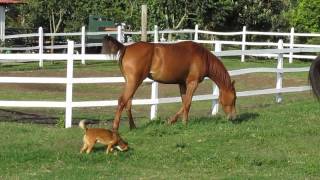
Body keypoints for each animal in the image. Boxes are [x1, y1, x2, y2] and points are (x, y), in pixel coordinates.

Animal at [101, 35, 236, 130]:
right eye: (234, 98)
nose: (233, 117)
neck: (202, 57)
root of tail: (126, 47)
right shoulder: (193, 83)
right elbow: (187, 103)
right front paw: (173, 121)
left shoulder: (182, 84)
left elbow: (184, 102)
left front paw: (184, 122)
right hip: (134, 82)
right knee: (122, 101)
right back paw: (115, 128)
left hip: (131, 83)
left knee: (128, 103)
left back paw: (133, 126)